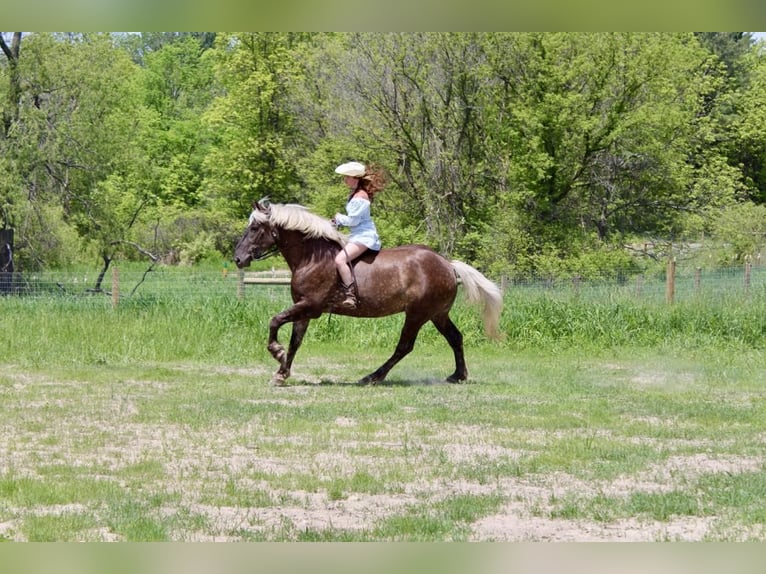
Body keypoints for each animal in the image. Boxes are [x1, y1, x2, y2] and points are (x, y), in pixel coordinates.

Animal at [237, 199, 508, 388]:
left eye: (255, 227)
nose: (238, 258)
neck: (312, 257)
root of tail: (447, 264)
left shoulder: (310, 306)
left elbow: (274, 321)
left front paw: (276, 352)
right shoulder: (303, 309)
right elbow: (295, 342)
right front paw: (281, 373)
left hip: (417, 314)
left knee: (404, 346)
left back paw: (372, 377)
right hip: (437, 314)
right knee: (455, 338)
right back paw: (457, 376)